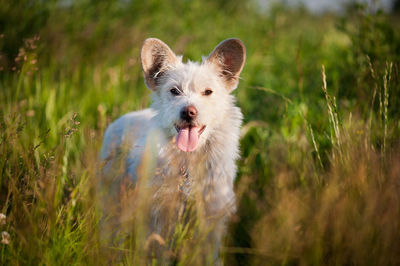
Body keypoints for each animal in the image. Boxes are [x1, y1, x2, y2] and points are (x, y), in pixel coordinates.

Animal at [99, 37, 244, 262]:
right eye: (175, 91)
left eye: (208, 92)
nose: (188, 112)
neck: (189, 163)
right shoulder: (160, 217)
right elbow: (159, 253)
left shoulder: (211, 218)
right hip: (112, 197)